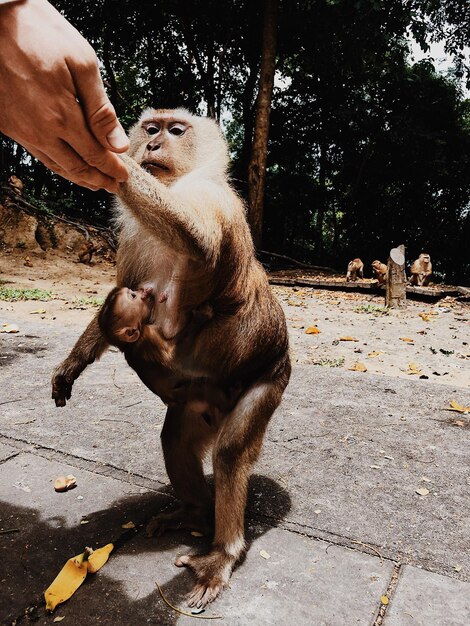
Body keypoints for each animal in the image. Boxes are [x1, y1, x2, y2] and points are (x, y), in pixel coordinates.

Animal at [53, 106, 292, 604]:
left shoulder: (212, 199)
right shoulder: (133, 243)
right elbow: (121, 298)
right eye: (151, 128)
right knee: (177, 440)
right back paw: (196, 514)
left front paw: (112, 162)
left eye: (175, 130)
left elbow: (197, 238)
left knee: (230, 453)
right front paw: (72, 365)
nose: (152, 145)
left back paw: (223, 551)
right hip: (199, 404)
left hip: (269, 381)